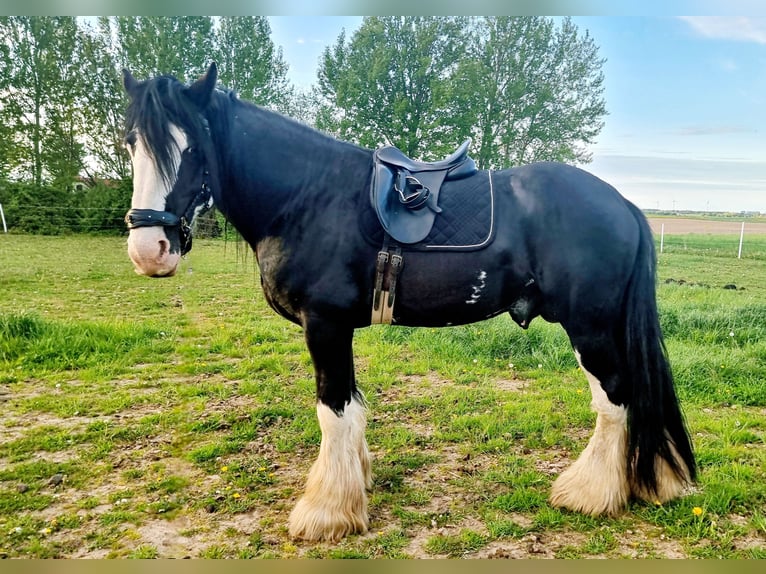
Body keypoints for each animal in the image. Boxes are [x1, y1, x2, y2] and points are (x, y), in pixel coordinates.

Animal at [121, 63, 695, 542]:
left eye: (192, 149)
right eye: (130, 143)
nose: (150, 250)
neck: (307, 197)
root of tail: (622, 203)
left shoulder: (324, 325)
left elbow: (332, 412)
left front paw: (326, 513)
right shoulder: (338, 329)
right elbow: (352, 407)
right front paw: (354, 487)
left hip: (589, 327)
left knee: (615, 398)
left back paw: (589, 494)